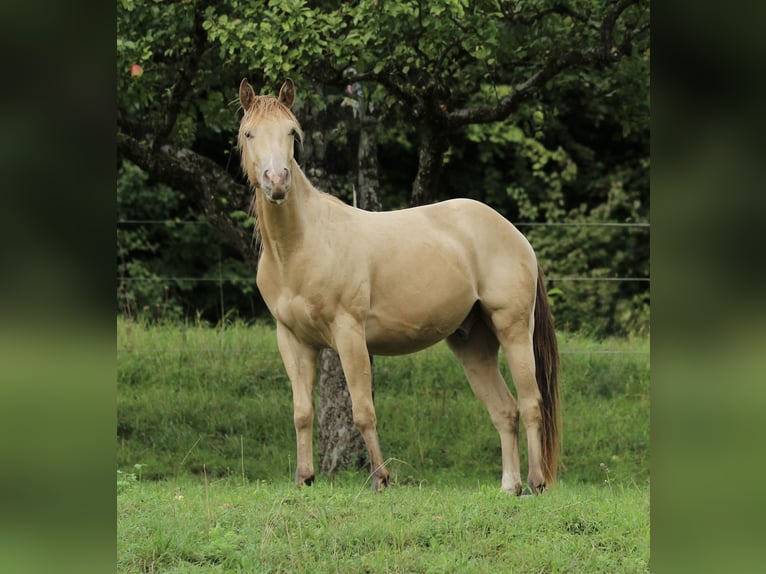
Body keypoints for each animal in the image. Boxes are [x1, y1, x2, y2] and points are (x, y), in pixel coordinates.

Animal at [237, 78, 561, 495]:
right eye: (249, 133)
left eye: (292, 132)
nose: (277, 181)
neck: (302, 246)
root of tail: (516, 236)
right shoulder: (292, 339)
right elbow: (302, 412)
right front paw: (304, 478)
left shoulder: (349, 334)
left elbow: (363, 410)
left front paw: (381, 478)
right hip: (473, 342)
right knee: (504, 409)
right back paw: (509, 486)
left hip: (514, 330)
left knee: (530, 402)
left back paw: (536, 483)